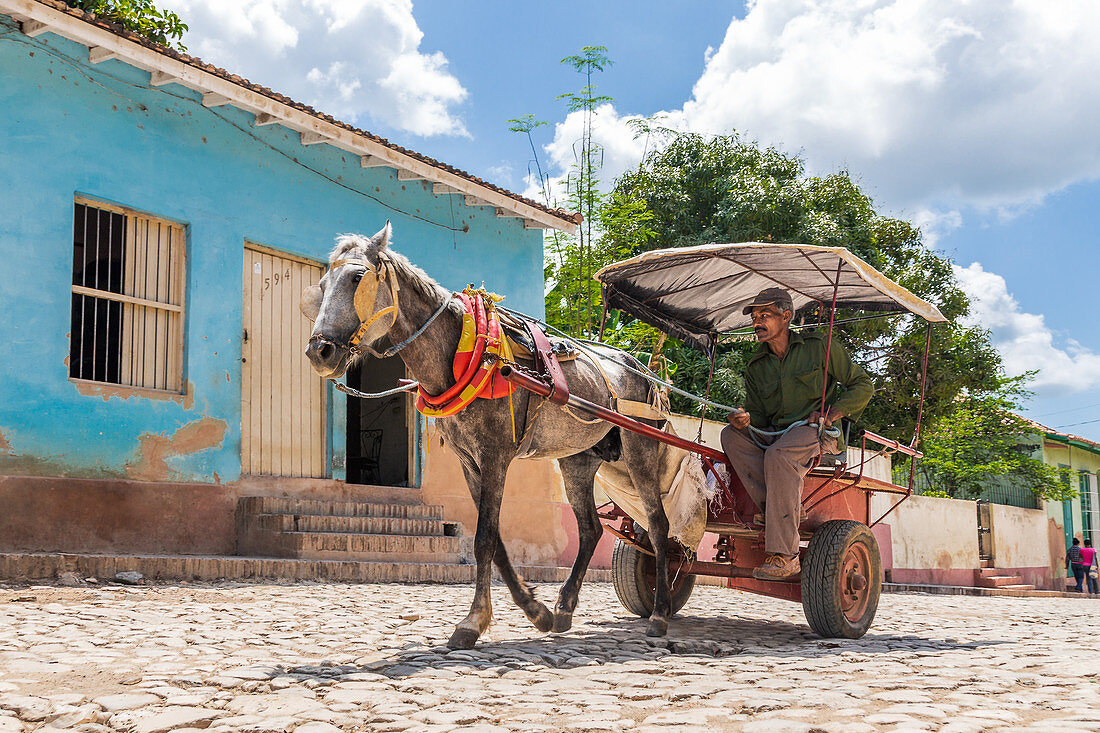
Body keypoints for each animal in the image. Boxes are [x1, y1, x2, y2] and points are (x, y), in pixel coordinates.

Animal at [305, 222, 673, 647]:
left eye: (356, 278)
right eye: (322, 284)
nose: (319, 351)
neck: (466, 351)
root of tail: (642, 369)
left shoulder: (495, 455)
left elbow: (484, 539)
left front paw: (473, 621)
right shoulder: (469, 462)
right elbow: (495, 541)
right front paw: (536, 611)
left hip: (640, 448)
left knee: (658, 525)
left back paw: (660, 614)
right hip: (577, 460)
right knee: (591, 529)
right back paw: (565, 608)